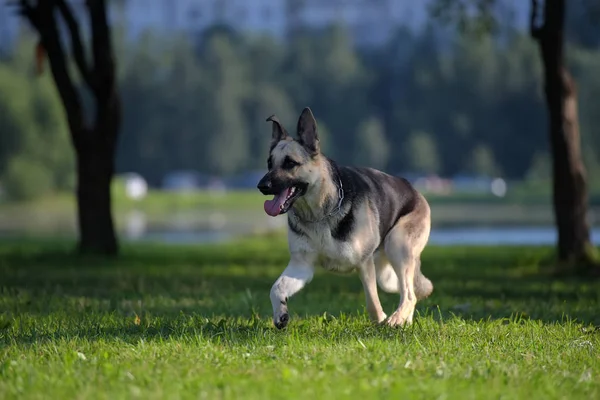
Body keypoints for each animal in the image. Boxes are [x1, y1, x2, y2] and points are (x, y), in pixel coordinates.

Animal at [256, 108, 432, 330]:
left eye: (290, 163)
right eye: (269, 163)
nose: (261, 186)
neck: (320, 213)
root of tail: (414, 189)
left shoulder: (364, 263)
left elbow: (372, 302)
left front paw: (381, 320)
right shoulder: (301, 266)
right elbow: (276, 288)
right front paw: (281, 314)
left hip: (397, 246)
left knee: (409, 294)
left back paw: (396, 319)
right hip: (386, 274)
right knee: (409, 291)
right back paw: (405, 320)